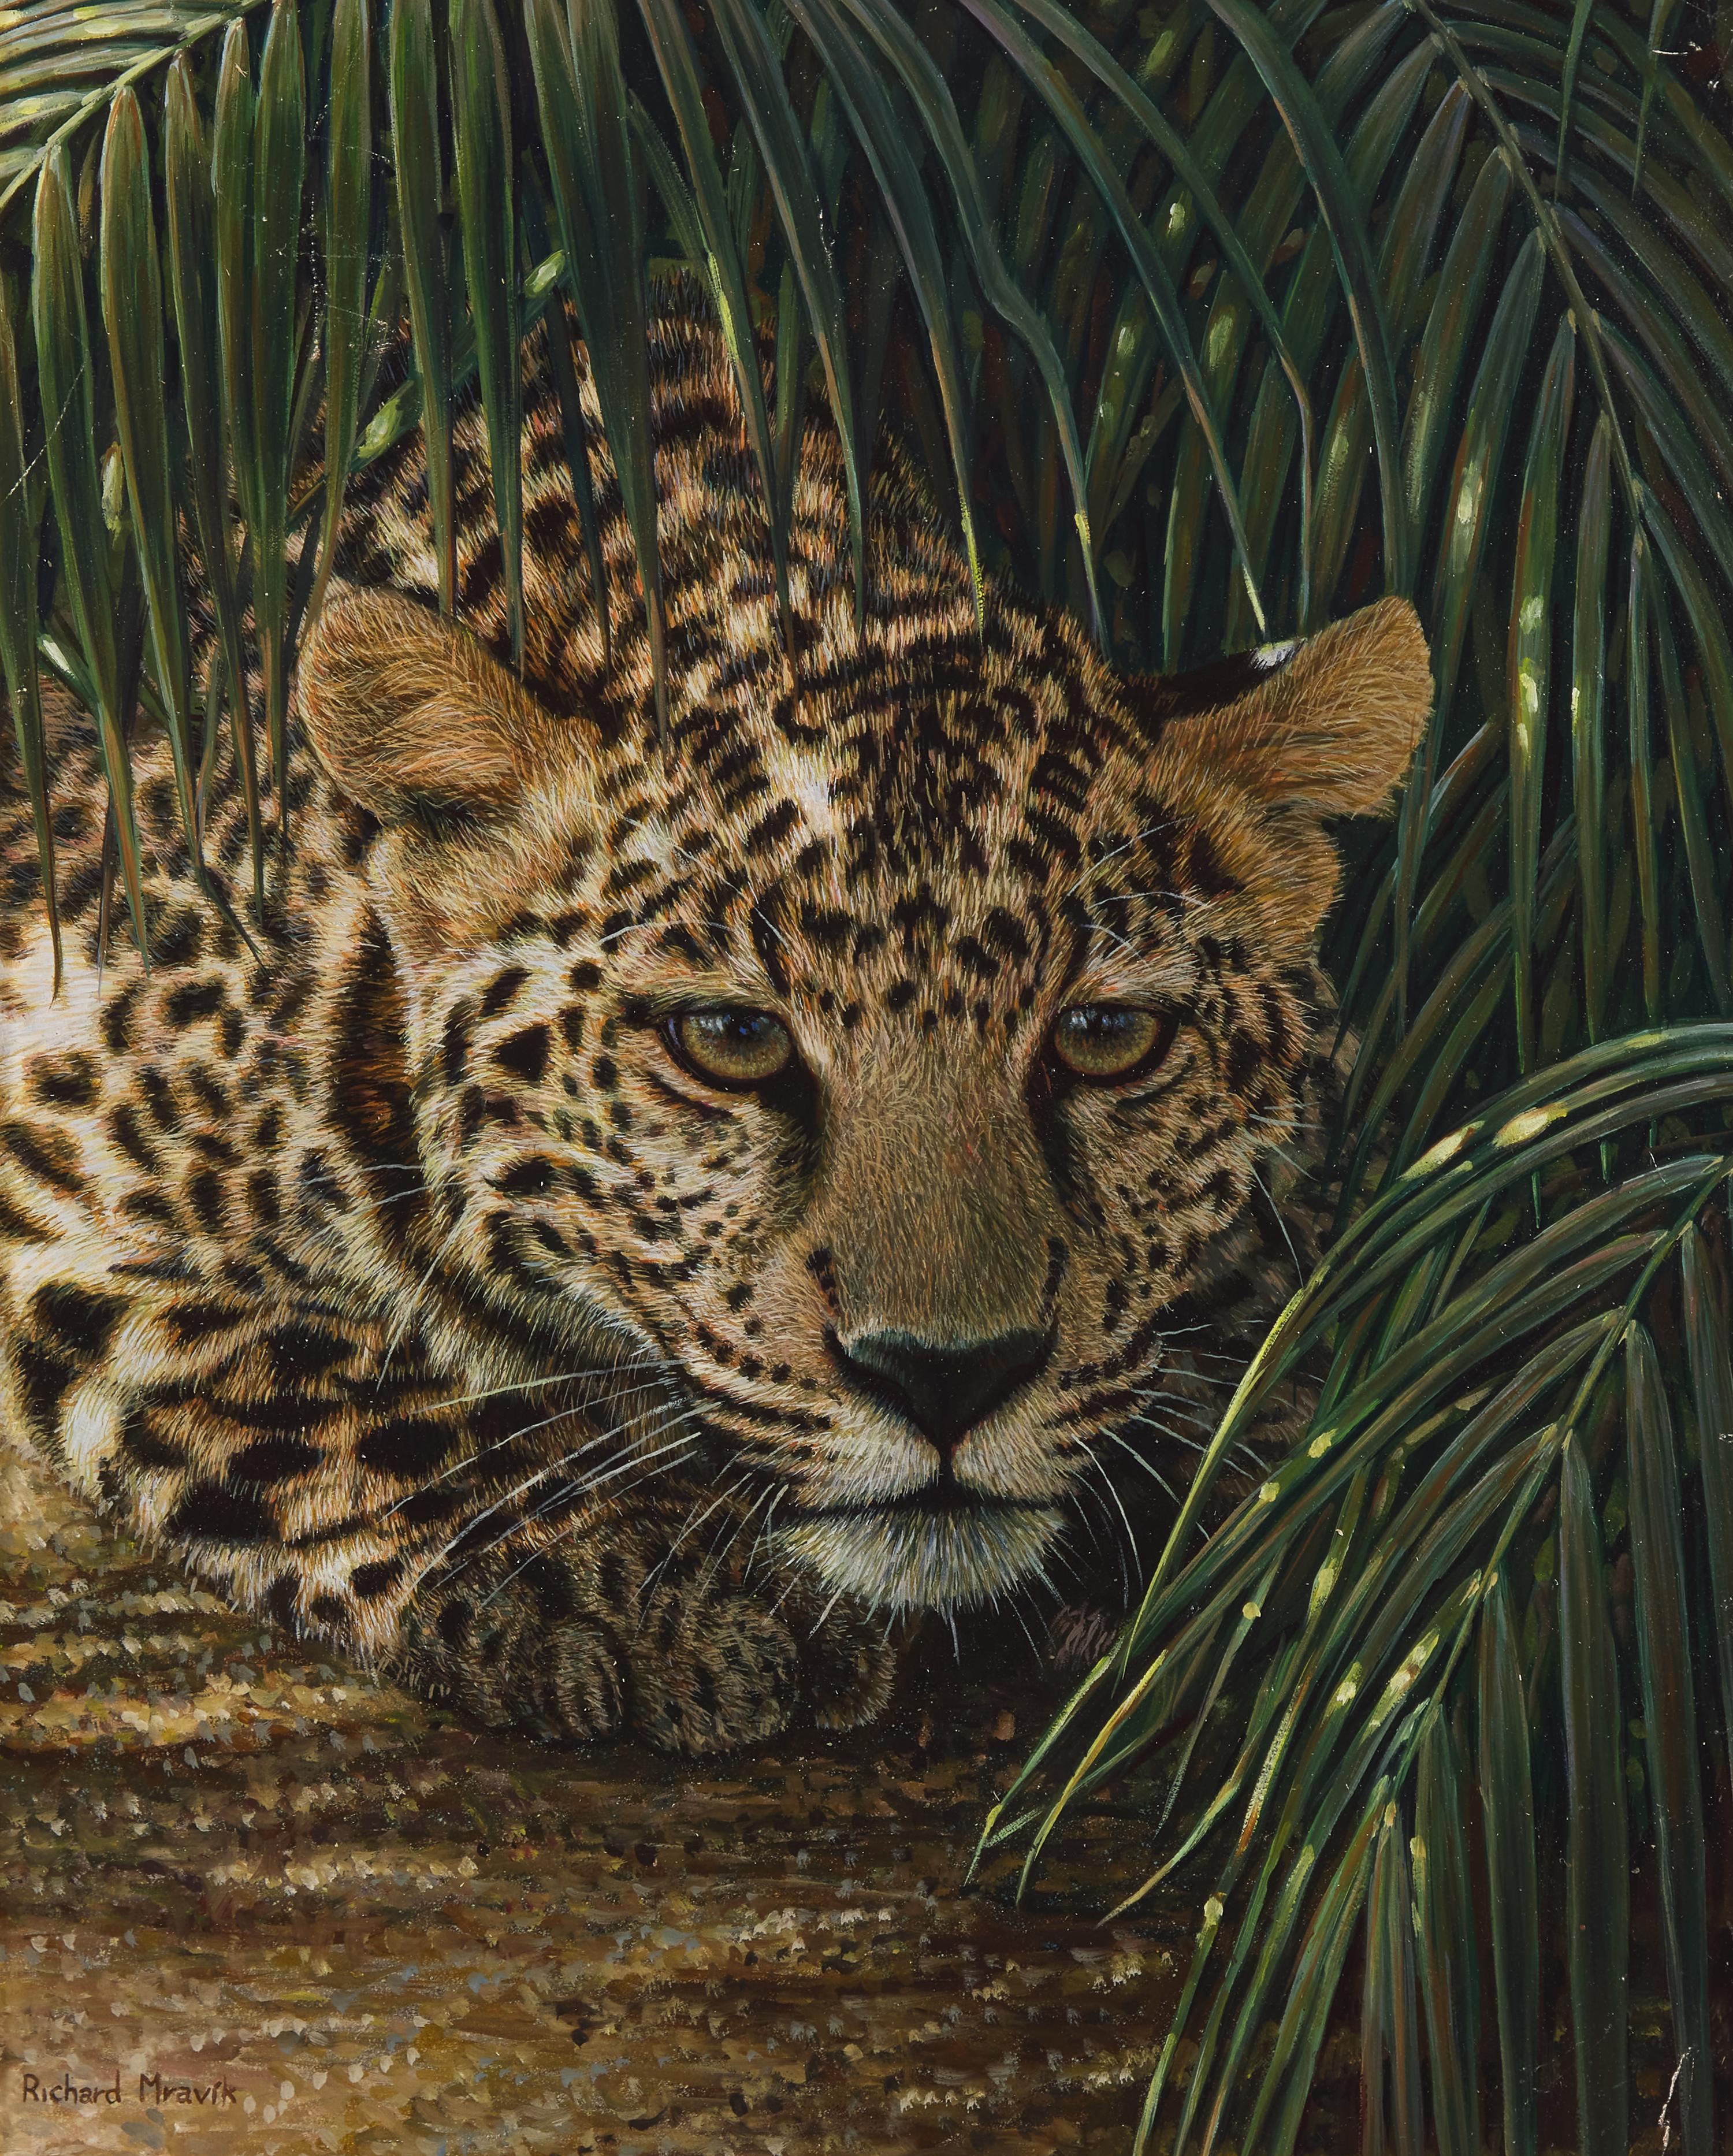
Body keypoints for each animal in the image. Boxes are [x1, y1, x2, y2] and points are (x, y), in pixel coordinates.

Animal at [0, 285, 1432, 1753]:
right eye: (730, 1044)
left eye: (1104, 1040)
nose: (947, 1379)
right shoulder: (61, 1146)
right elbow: (326, 1384)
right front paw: (622, 1573)